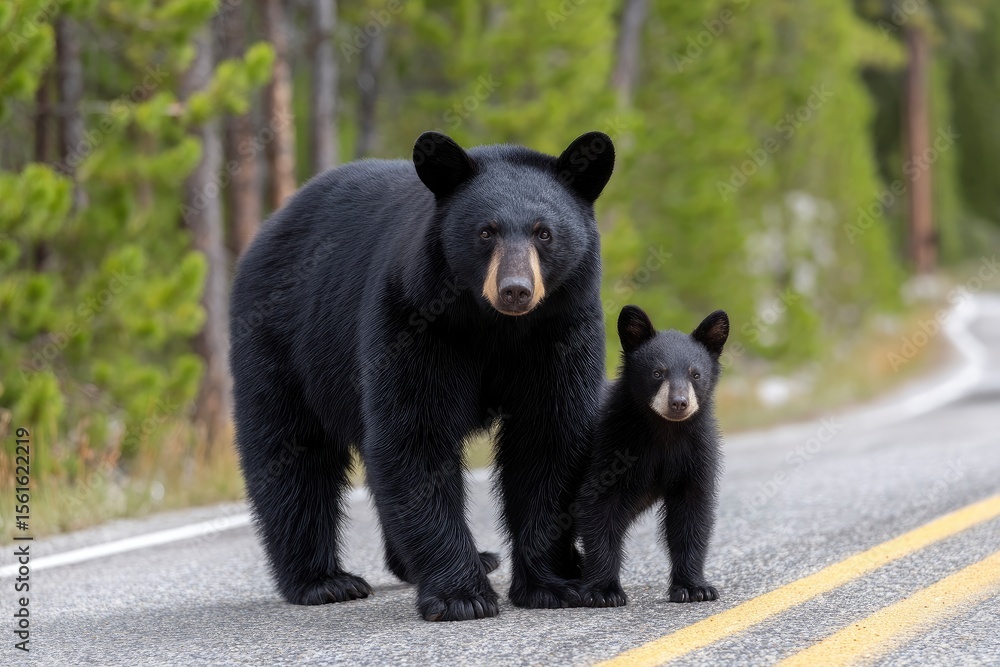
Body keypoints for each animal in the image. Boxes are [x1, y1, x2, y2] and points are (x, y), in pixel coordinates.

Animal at [229, 130, 614, 621]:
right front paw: (461, 596)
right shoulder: (415, 317)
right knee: (292, 452)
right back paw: (324, 581)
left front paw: (553, 586)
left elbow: (548, 437)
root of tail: (268, 227)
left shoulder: (560, 329)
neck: (493, 326)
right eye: (485, 231)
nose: (515, 290)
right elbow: (416, 435)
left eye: (544, 232)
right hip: (284, 340)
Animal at [577, 305, 729, 607]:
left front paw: (694, 588)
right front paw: (604, 591)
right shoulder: (610, 445)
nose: (679, 403)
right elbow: (600, 509)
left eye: (695, 374)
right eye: (658, 372)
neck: (664, 433)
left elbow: (692, 515)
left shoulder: (696, 452)